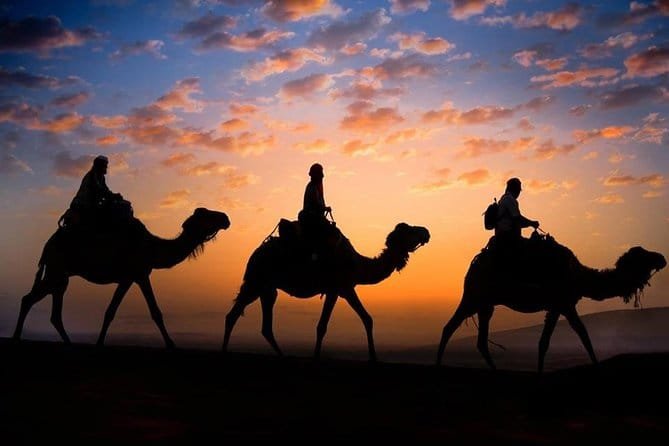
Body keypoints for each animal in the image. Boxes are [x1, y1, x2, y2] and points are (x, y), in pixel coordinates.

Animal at [13, 206, 230, 348]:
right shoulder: (138, 274)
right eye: (206, 214)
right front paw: (171, 344)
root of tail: (48, 244)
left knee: (51, 310)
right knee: (29, 299)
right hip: (56, 269)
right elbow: (153, 312)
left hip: (60, 275)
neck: (152, 248)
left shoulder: (129, 278)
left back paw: (67, 342)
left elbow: (111, 311)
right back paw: (16, 337)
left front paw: (99, 342)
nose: (226, 218)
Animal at [219, 221, 428, 360]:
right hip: (256, 281)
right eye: (410, 230)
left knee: (263, 325)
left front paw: (373, 358)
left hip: (267, 288)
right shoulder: (339, 288)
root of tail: (254, 254)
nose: (426, 232)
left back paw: (281, 355)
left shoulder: (343, 289)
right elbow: (323, 326)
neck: (357, 264)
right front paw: (317, 357)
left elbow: (367, 319)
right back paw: (223, 352)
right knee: (233, 315)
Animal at [436, 232, 664, 372]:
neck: (578, 275)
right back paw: (438, 364)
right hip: (475, 295)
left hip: (486, 303)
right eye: (643, 254)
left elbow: (560, 338)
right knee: (450, 327)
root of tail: (473, 265)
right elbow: (575, 336)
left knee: (478, 339)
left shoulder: (562, 305)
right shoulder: (562, 303)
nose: (662, 258)